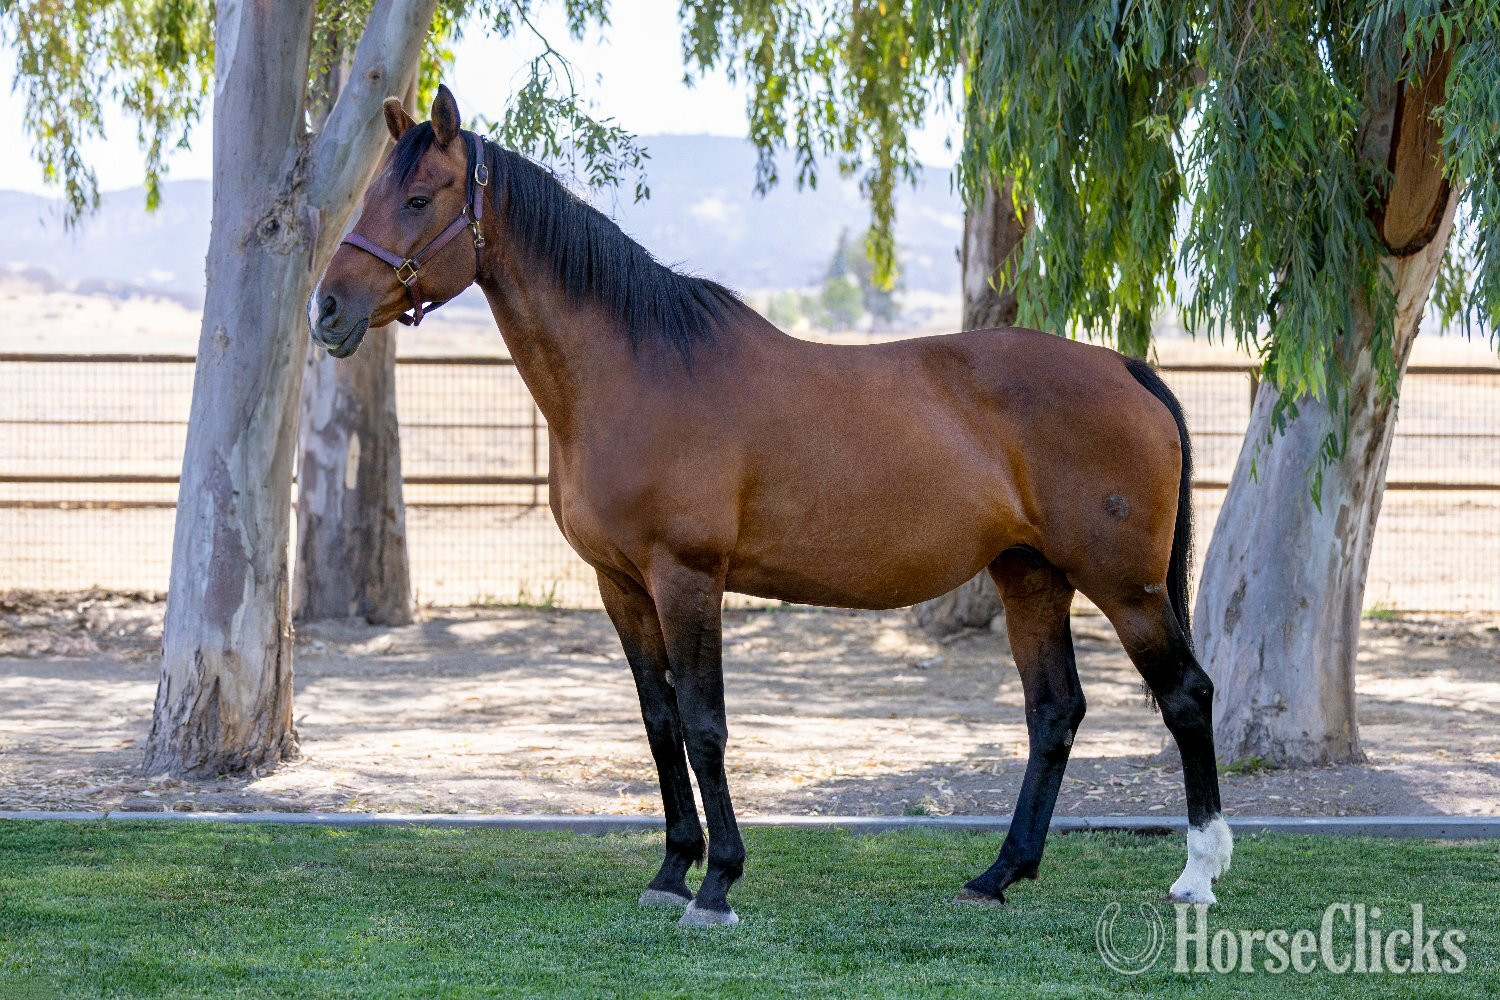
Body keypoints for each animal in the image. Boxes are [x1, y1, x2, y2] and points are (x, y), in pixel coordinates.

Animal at [312, 85, 1232, 927]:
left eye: (419, 199)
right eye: (369, 194)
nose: (327, 309)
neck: (637, 372)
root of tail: (1126, 370)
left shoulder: (687, 577)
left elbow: (705, 724)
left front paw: (717, 884)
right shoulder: (621, 585)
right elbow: (659, 722)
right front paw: (670, 871)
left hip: (1125, 586)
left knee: (1186, 696)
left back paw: (1197, 873)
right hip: (1031, 576)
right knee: (1055, 712)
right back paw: (997, 874)